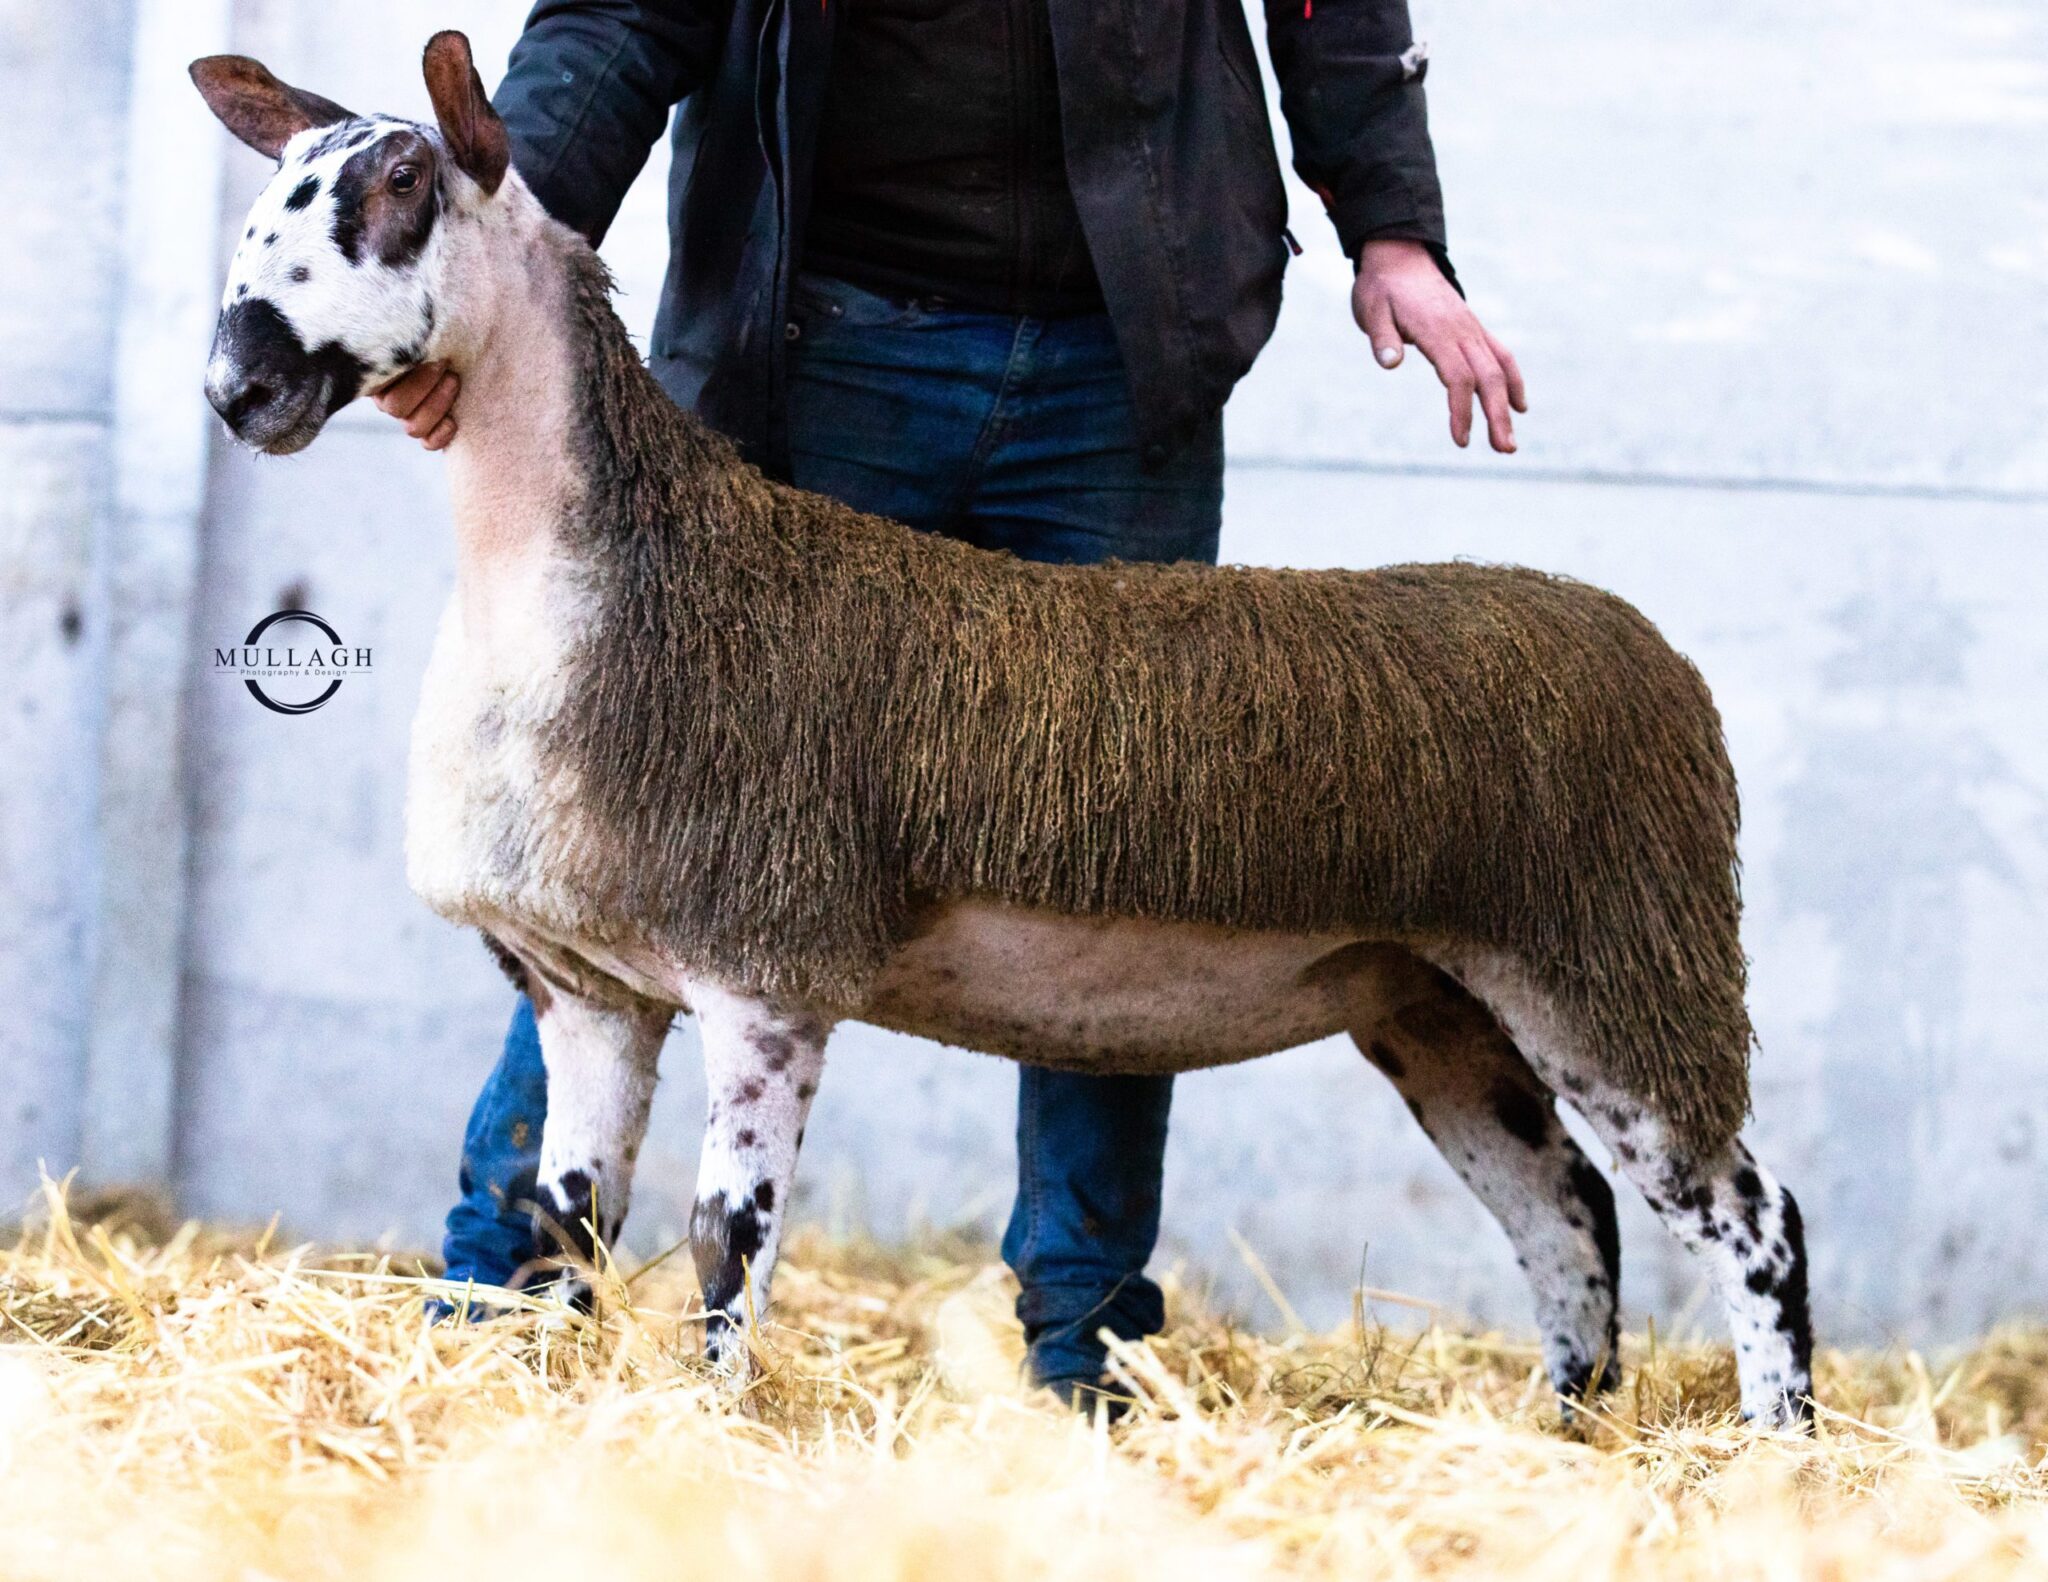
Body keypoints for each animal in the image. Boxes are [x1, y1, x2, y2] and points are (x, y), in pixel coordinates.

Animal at [192, 34, 1818, 1418]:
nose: (237, 382)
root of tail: (1649, 651)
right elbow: (561, 1224)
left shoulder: (768, 968)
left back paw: (1770, 1451)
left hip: (1619, 960)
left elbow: (727, 1242)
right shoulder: (588, 987)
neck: (596, 583)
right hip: (1437, 996)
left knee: (1753, 1217)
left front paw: (709, 1429)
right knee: (1568, 1212)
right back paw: (1569, 1438)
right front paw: (553, 1404)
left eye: (401, 191)